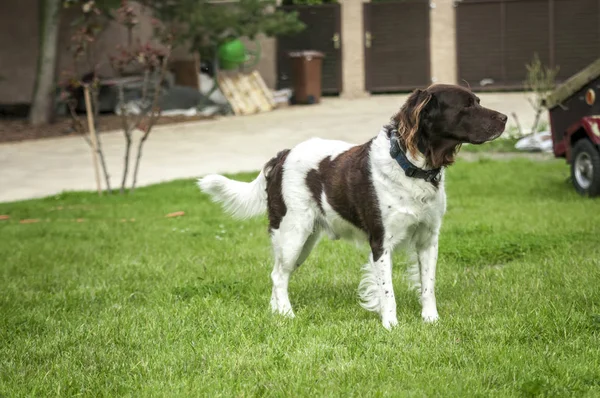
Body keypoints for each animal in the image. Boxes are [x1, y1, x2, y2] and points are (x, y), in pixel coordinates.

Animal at [199, 84, 508, 330]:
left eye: (478, 101)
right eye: (467, 106)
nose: (505, 118)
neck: (412, 168)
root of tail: (282, 155)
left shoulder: (428, 239)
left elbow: (427, 285)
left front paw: (431, 320)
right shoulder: (381, 242)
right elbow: (387, 291)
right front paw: (390, 325)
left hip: (304, 242)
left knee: (279, 275)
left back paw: (276, 313)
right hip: (293, 234)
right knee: (278, 275)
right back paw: (287, 315)